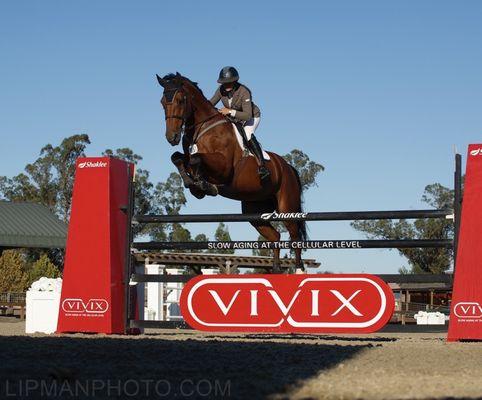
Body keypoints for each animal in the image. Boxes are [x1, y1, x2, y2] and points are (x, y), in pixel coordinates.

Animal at [155, 72, 306, 272]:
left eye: (180, 100)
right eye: (162, 102)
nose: (171, 137)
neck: (203, 128)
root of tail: (288, 167)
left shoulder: (224, 168)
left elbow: (196, 159)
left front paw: (204, 185)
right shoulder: (188, 156)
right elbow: (178, 158)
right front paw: (193, 185)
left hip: (287, 207)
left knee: (295, 236)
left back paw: (299, 269)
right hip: (255, 211)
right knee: (275, 237)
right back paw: (276, 270)